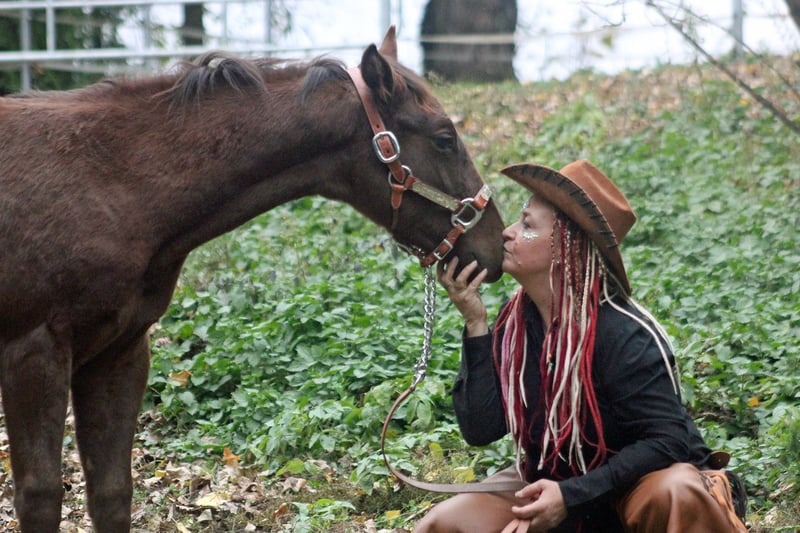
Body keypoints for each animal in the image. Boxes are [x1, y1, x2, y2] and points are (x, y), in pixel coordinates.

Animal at [0, 27, 504, 532]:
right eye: (443, 139)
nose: (495, 245)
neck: (109, 183)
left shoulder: (119, 352)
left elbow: (111, 491)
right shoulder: (34, 353)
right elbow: (41, 496)